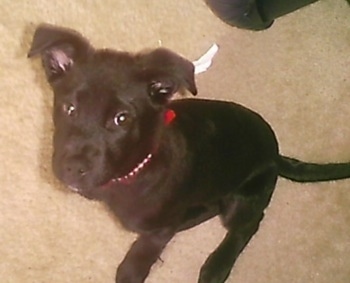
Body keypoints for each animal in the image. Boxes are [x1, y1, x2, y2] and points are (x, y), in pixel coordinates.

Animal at [28, 24, 350, 283]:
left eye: (122, 119)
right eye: (69, 108)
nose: (72, 168)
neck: (138, 165)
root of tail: (276, 154)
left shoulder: (159, 226)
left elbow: (144, 249)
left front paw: (132, 269)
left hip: (243, 198)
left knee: (248, 224)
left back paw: (216, 266)